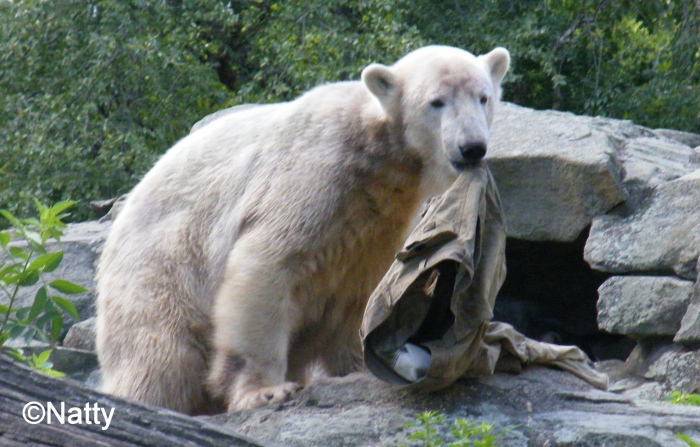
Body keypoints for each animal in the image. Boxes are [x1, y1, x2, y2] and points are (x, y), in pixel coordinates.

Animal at [95, 45, 510, 415]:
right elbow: (266, 265)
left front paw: (361, 367)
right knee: (161, 353)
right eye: (436, 102)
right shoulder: (312, 177)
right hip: (162, 264)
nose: (472, 147)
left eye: (484, 97)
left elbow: (360, 295)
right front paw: (265, 391)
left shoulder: (378, 224)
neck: (373, 150)